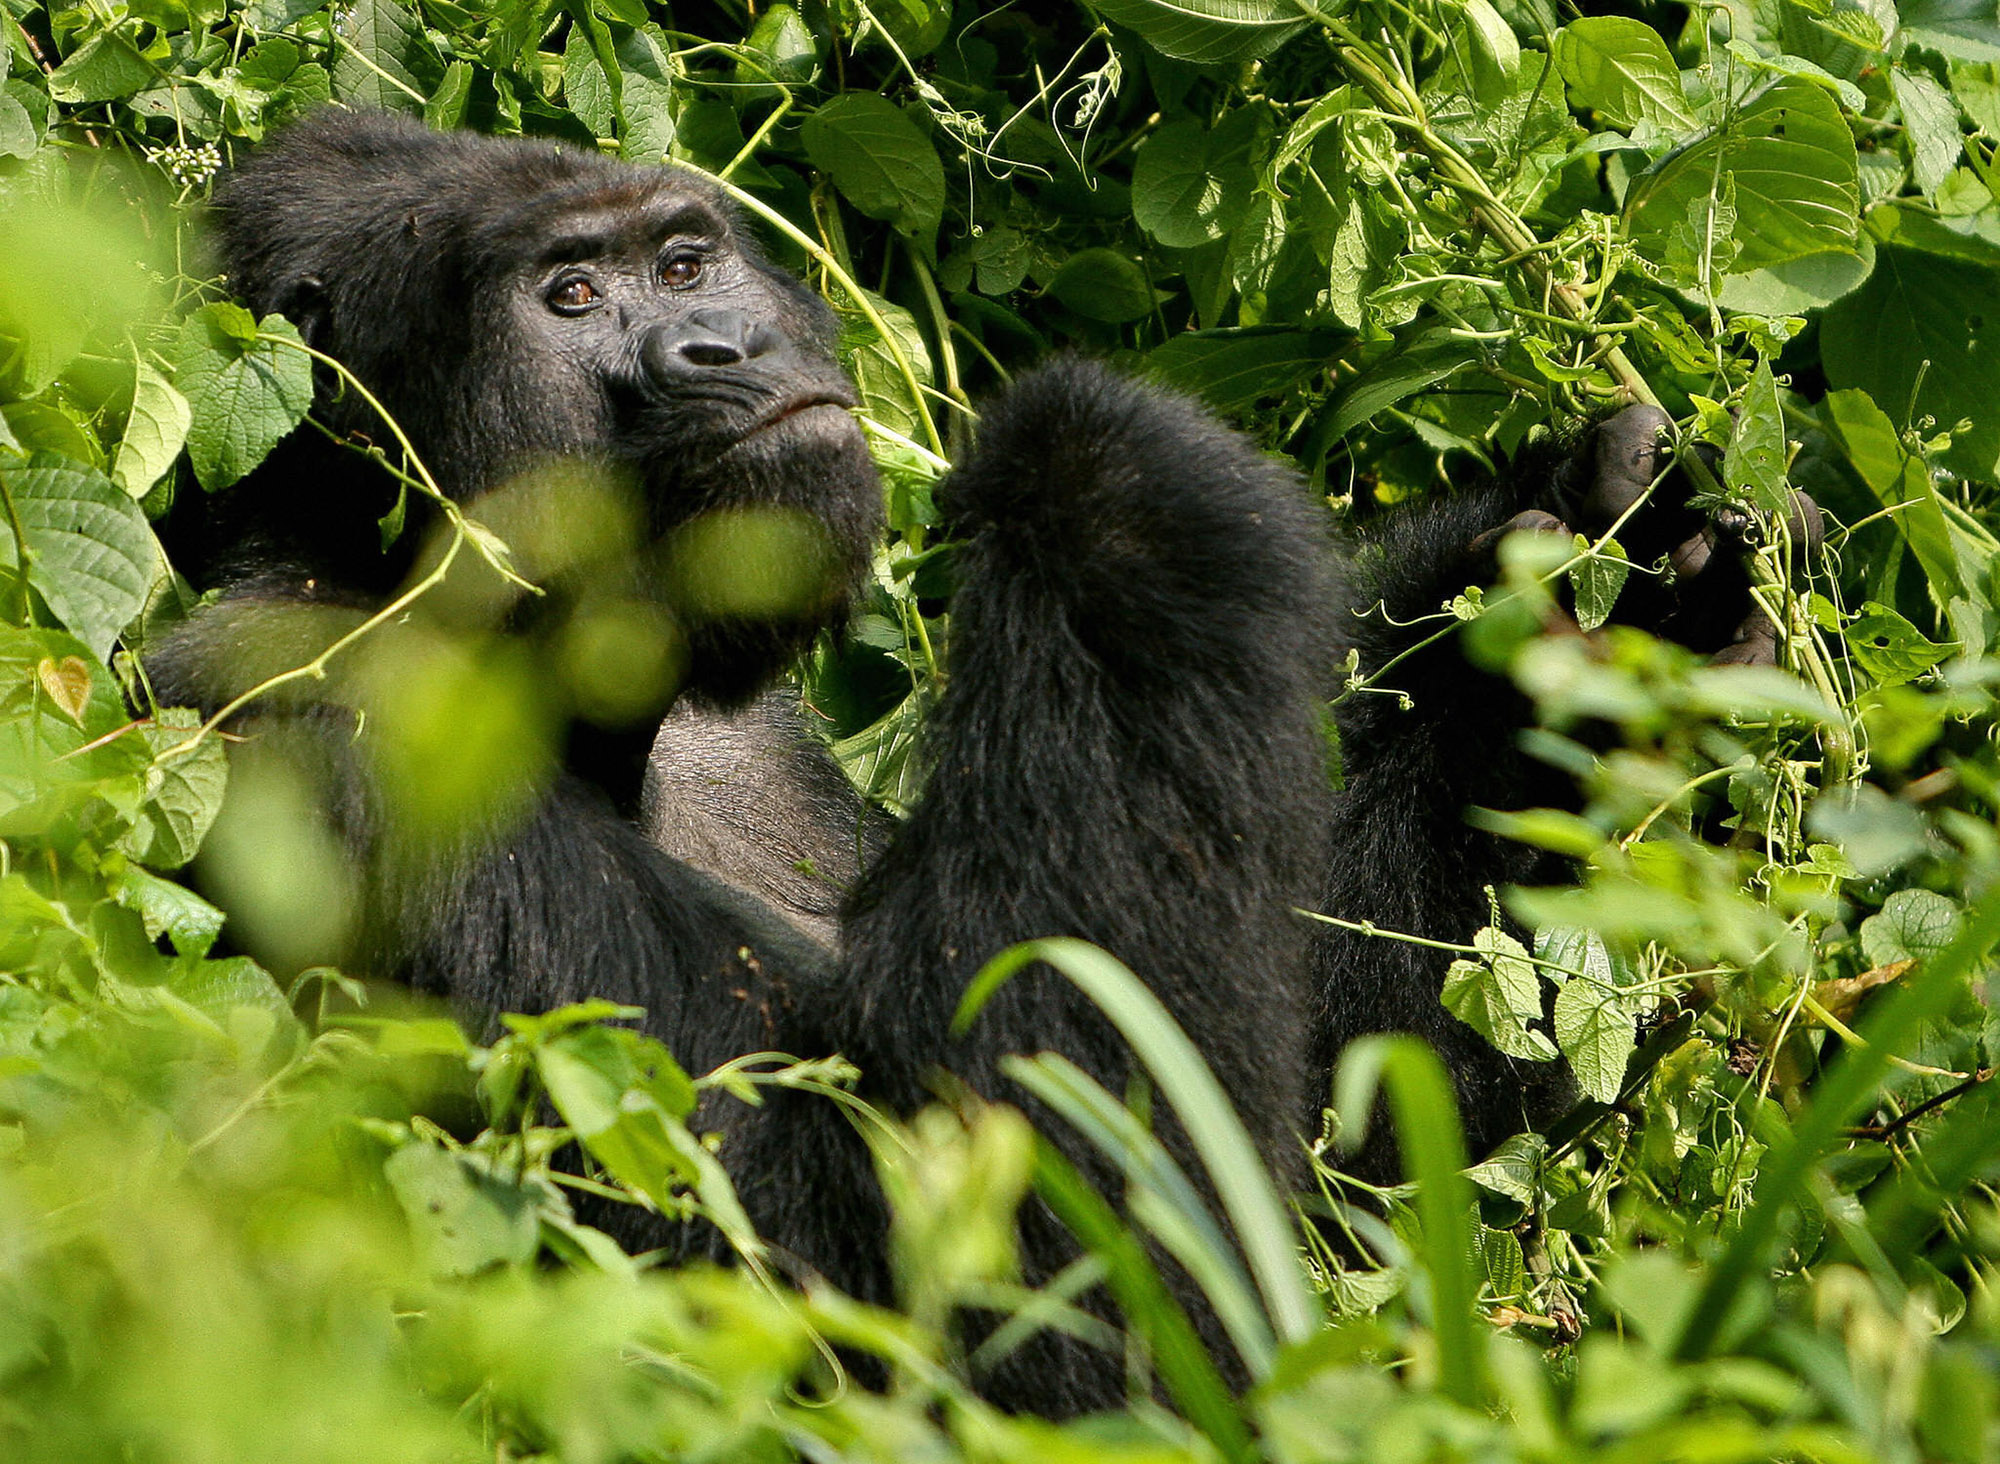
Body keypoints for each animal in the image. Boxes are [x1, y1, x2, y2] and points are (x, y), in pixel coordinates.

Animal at [148, 108, 1784, 1416]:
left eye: (681, 265)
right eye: (568, 296)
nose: (727, 348)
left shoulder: (754, 734)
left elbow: (1340, 1154)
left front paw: (1576, 622)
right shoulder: (315, 727)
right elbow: (954, 1275)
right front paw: (1103, 469)